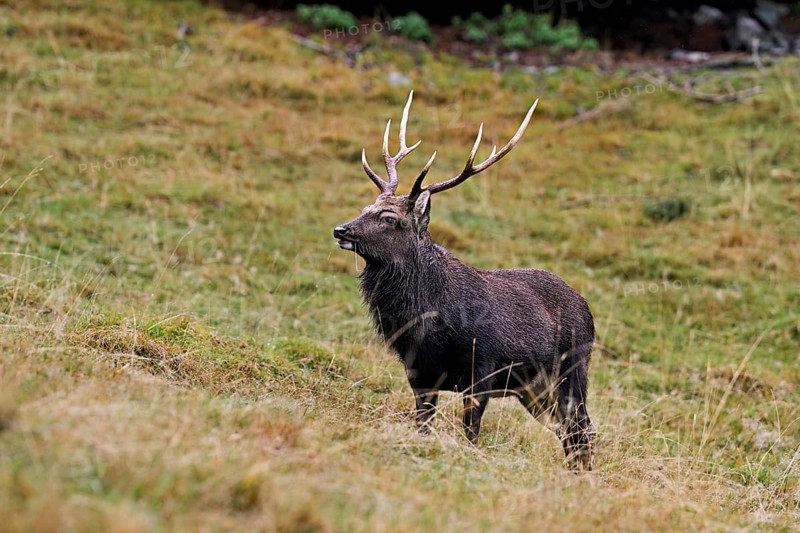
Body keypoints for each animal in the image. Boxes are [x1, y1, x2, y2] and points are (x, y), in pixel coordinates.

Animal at [333, 92, 596, 470]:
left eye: (388, 218)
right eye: (365, 208)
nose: (341, 229)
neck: (430, 322)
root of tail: (588, 311)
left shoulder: (481, 370)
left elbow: (471, 435)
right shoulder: (419, 374)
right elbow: (423, 426)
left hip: (572, 368)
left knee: (583, 428)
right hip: (534, 389)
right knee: (569, 431)